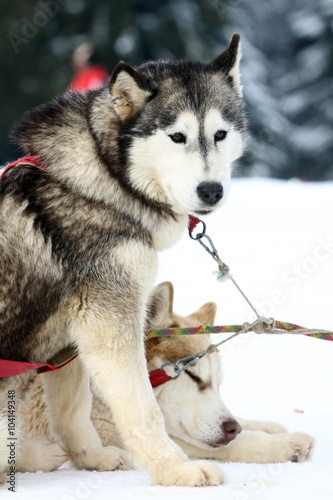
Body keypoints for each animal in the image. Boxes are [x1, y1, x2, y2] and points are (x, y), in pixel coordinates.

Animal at [20, 282, 314, 472]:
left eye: (218, 384)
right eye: (193, 375)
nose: (232, 428)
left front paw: (269, 427)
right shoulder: (110, 431)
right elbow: (225, 445)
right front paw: (284, 444)